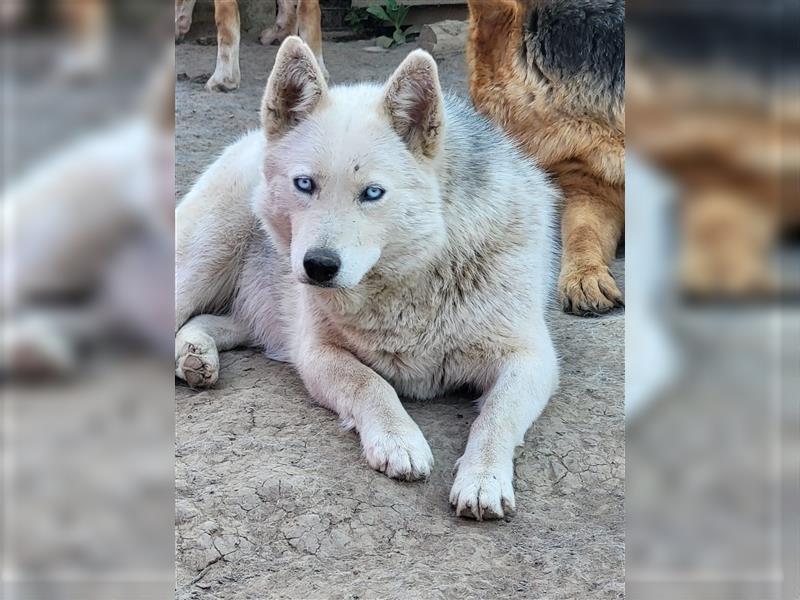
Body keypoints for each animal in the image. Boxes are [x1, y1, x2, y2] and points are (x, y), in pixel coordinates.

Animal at [177, 37, 560, 516]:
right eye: (305, 184)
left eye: (373, 193)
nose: (319, 266)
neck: (418, 273)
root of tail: (248, 141)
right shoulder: (316, 352)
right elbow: (372, 385)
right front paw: (399, 440)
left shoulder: (531, 358)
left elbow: (496, 417)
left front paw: (483, 478)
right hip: (207, 258)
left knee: (212, 321)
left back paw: (196, 355)